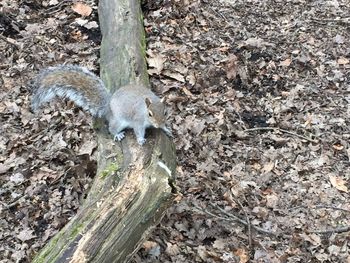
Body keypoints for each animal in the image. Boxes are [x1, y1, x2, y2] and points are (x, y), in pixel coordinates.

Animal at [32, 65, 172, 145]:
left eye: (165, 112)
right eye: (150, 114)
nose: (158, 124)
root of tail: (108, 107)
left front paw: (166, 129)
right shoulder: (138, 121)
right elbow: (138, 131)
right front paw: (140, 140)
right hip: (118, 121)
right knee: (111, 128)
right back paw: (117, 134)